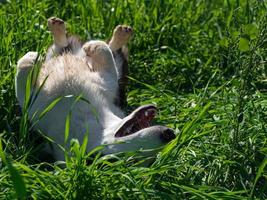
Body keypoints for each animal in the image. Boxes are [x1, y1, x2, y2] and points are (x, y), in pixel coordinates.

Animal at [15, 16, 177, 161]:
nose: (170, 133)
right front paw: (31, 58)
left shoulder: (108, 82)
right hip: (56, 54)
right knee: (61, 46)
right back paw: (58, 27)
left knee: (113, 51)